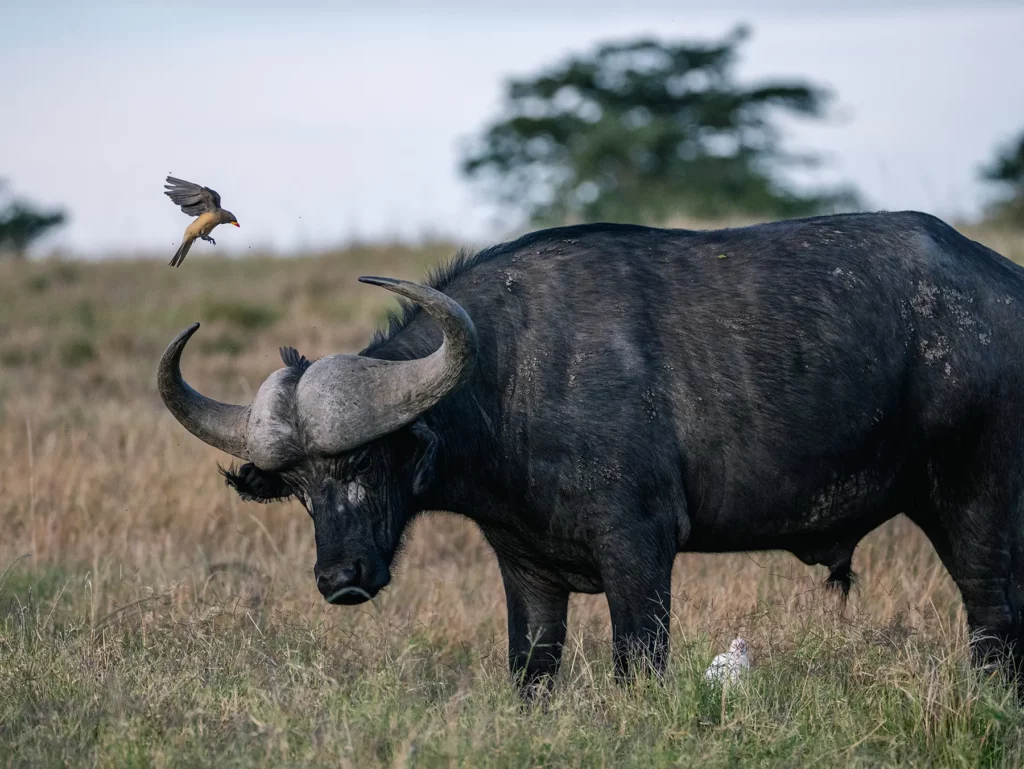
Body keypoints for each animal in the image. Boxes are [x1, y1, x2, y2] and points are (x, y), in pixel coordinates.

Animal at [157, 211, 1024, 697]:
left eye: (369, 461)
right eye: (301, 484)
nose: (340, 578)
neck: (508, 379)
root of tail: (1005, 285)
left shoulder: (640, 550)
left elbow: (638, 665)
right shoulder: (528, 569)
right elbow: (531, 671)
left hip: (977, 506)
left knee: (994, 624)